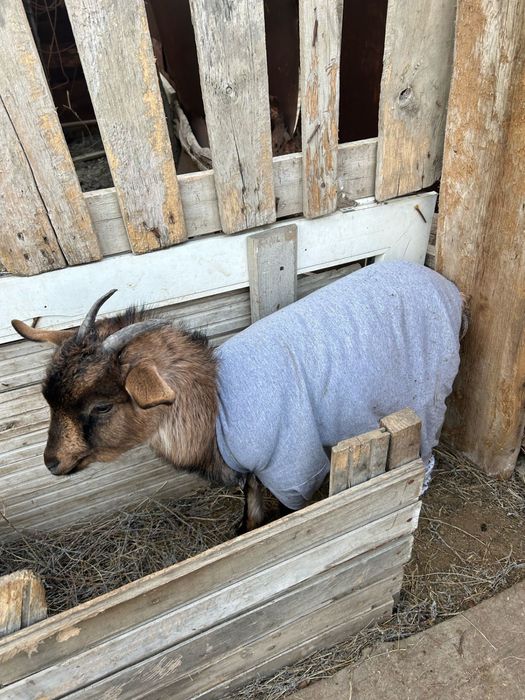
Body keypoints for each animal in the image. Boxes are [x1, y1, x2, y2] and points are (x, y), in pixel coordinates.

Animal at [12, 261, 465, 531]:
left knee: (427, 449)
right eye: (49, 401)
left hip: (431, 392)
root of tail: (451, 288)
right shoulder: (254, 469)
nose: (52, 462)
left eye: (102, 405)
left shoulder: (294, 464)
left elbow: (284, 509)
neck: (217, 404)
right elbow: (251, 505)